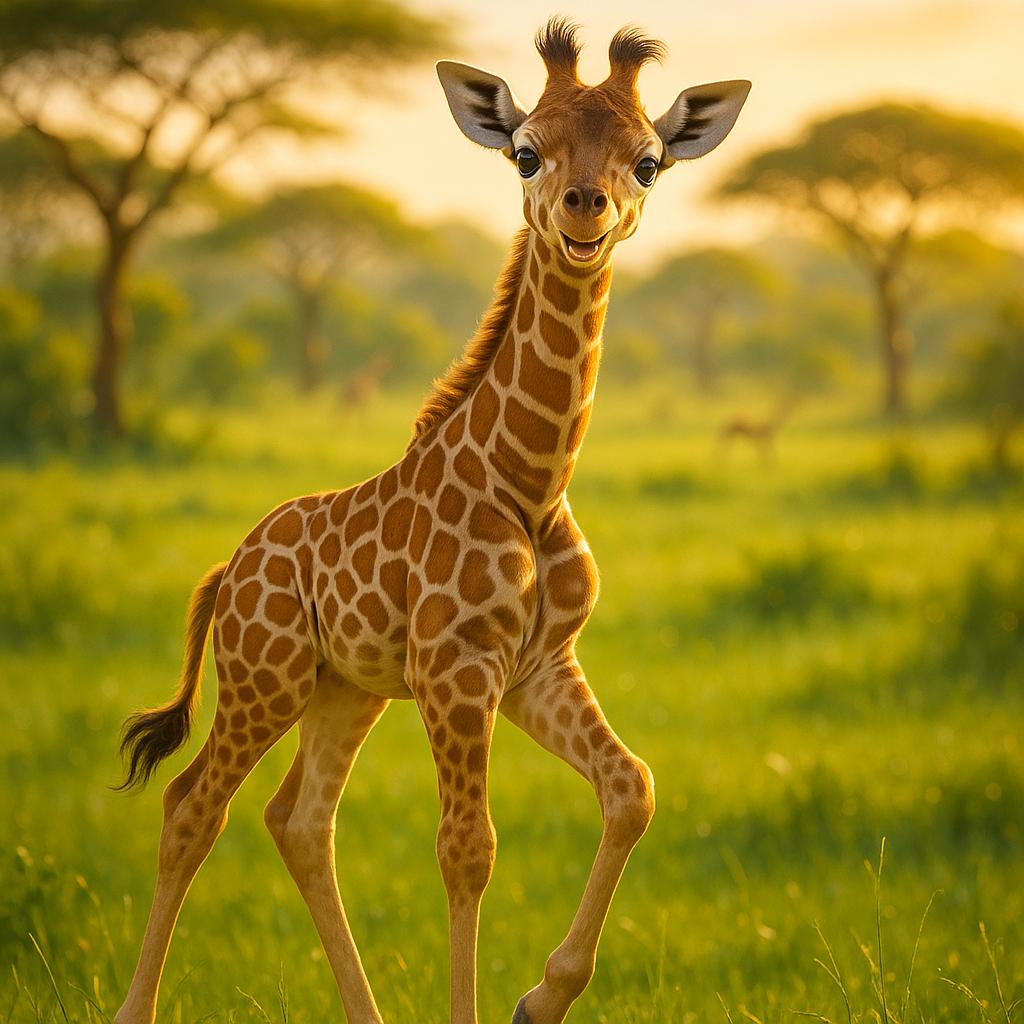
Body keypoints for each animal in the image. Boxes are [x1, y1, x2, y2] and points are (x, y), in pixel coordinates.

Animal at [113, 20, 749, 1024]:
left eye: (648, 162)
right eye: (525, 150)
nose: (585, 211)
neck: (528, 483)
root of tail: (228, 568)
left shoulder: (537, 666)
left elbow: (633, 788)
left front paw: (542, 996)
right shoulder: (458, 671)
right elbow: (467, 850)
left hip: (345, 689)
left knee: (299, 820)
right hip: (265, 678)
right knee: (191, 806)